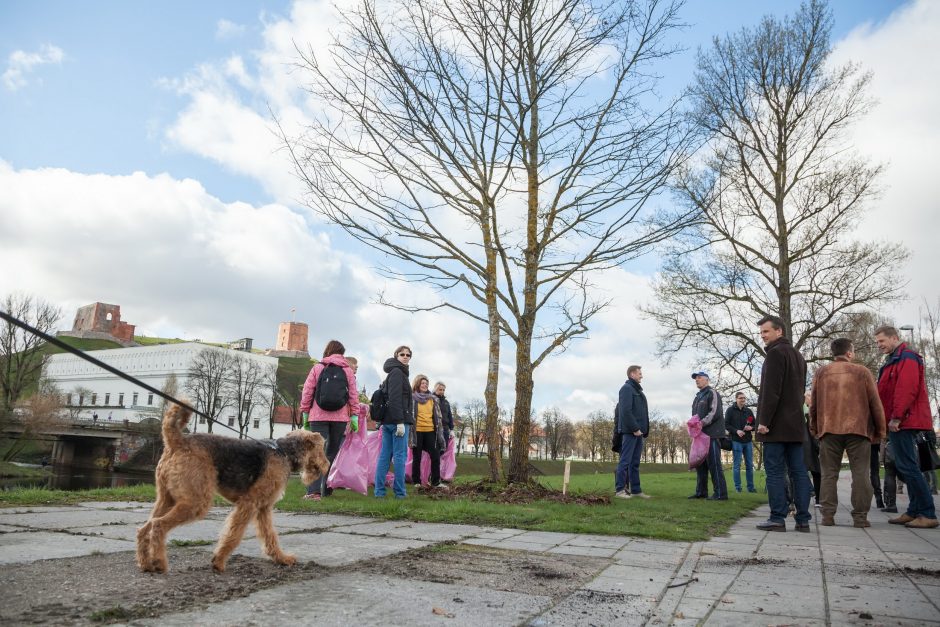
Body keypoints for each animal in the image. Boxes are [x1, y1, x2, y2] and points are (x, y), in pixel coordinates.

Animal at [136, 402, 330, 576]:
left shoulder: (263, 508)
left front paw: (282, 558)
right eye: (322, 448)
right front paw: (218, 561)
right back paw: (159, 563)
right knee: (158, 525)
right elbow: (233, 534)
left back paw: (146, 564)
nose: (328, 465)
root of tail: (176, 441)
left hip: (167, 498)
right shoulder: (249, 504)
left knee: (144, 529)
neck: (285, 452)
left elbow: (270, 536)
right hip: (195, 502)